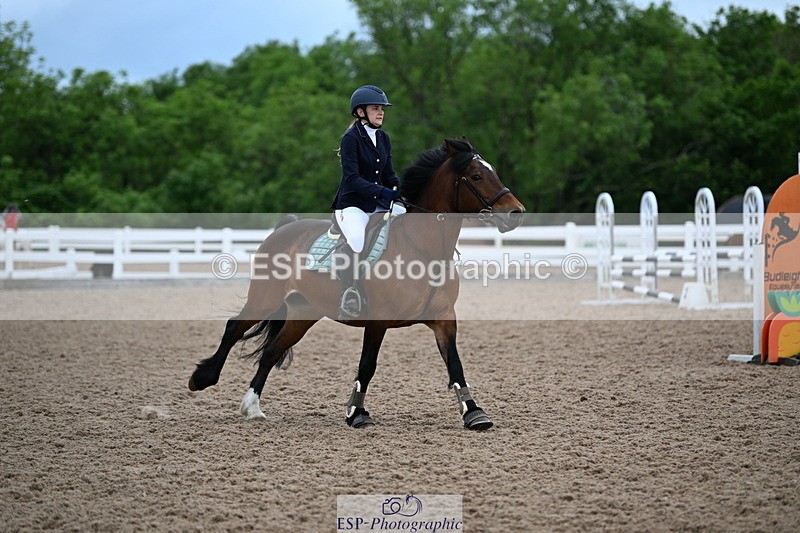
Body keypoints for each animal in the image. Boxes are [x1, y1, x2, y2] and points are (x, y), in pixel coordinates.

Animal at [188, 137, 525, 430]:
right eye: (477, 176)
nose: (516, 213)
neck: (424, 250)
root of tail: (284, 229)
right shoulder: (377, 322)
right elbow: (367, 365)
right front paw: (356, 413)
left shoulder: (444, 320)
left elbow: (455, 364)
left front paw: (474, 413)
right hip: (265, 298)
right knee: (234, 327)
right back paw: (202, 379)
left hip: (303, 313)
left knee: (271, 351)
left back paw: (252, 407)